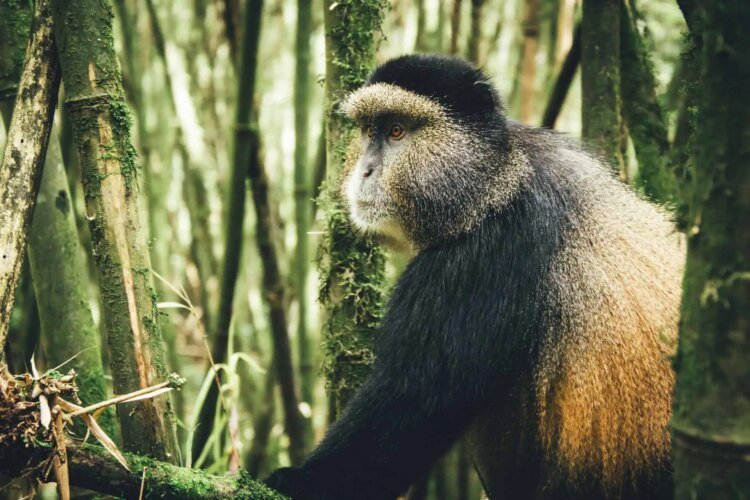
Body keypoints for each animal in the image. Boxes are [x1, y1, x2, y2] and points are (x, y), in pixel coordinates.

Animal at [265, 54, 684, 499]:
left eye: (397, 131)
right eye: (367, 131)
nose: (365, 170)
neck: (493, 183)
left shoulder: (482, 257)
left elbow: (412, 401)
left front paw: (297, 481)